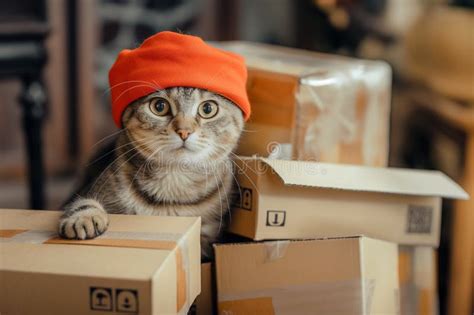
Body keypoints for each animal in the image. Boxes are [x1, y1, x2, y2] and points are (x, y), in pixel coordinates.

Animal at [59, 87, 244, 260]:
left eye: (207, 109)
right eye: (159, 106)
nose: (184, 131)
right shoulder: (89, 188)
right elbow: (82, 202)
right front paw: (83, 217)